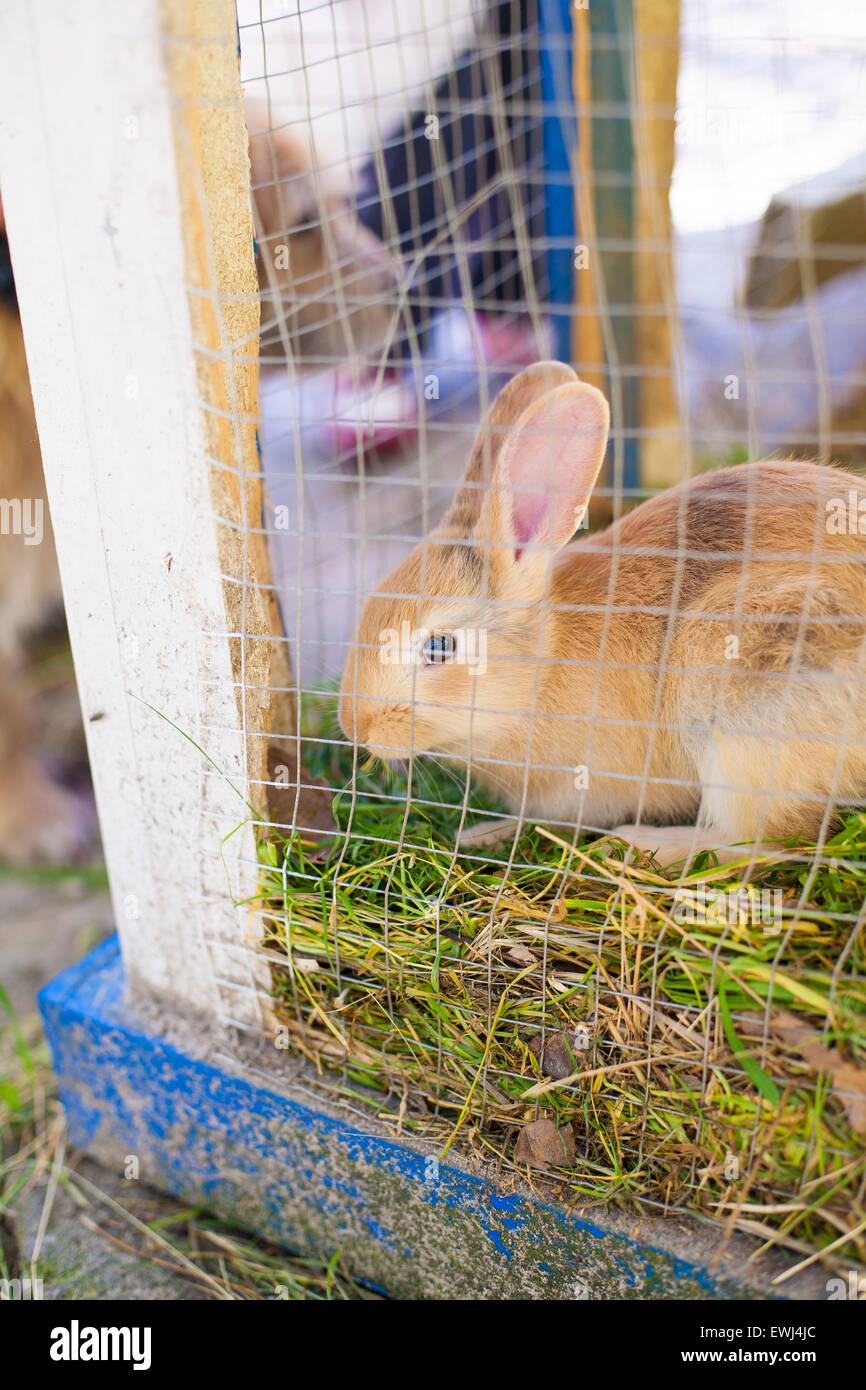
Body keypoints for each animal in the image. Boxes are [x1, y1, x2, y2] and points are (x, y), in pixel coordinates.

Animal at [337, 358, 866, 861]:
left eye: (440, 647)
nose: (355, 727)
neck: (541, 668)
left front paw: (483, 833)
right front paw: (481, 833)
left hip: (744, 706)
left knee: (767, 841)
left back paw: (639, 844)